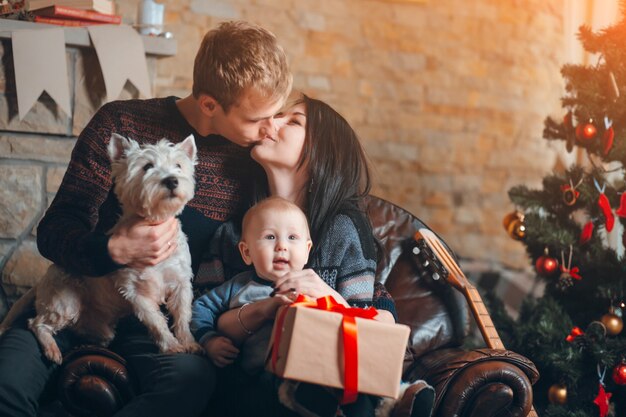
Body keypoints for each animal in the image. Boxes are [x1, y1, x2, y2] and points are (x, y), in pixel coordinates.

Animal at [0, 133, 200, 360]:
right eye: (147, 166)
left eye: (178, 166)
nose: (172, 180)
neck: (153, 221)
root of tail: (41, 282)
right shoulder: (134, 291)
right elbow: (156, 321)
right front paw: (171, 346)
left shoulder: (180, 282)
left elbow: (183, 315)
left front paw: (189, 343)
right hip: (65, 300)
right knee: (36, 323)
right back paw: (52, 350)